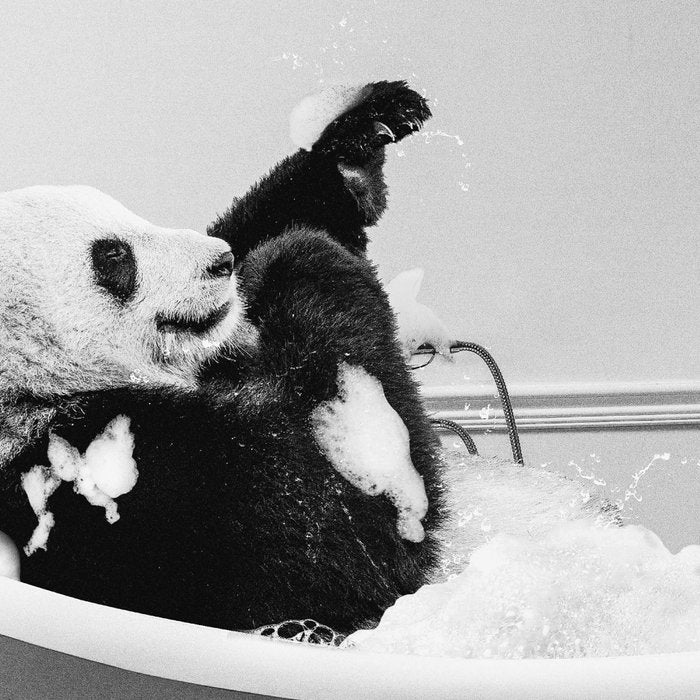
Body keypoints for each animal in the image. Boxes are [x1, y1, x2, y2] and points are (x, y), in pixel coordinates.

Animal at [0, 81, 611, 636]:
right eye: (113, 259)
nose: (221, 263)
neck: (48, 387)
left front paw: (361, 135)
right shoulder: (111, 483)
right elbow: (334, 538)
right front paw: (300, 260)